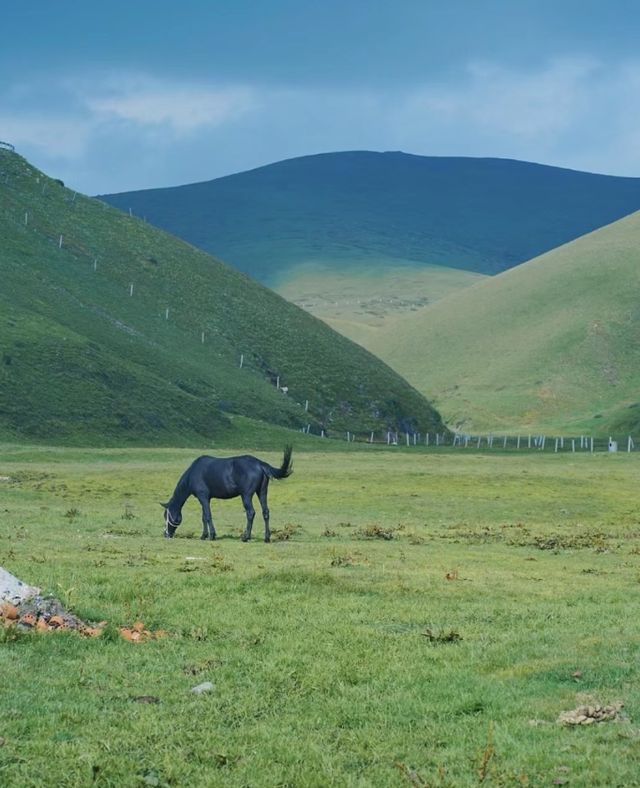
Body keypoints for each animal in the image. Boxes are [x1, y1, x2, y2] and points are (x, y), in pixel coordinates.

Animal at [160, 444, 292, 540]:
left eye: (166, 515)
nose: (166, 534)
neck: (193, 473)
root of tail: (260, 464)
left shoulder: (203, 497)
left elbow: (207, 516)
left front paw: (211, 536)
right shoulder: (205, 499)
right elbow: (203, 517)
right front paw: (204, 535)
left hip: (246, 495)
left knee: (250, 513)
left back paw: (245, 537)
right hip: (262, 492)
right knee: (265, 512)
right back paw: (266, 538)